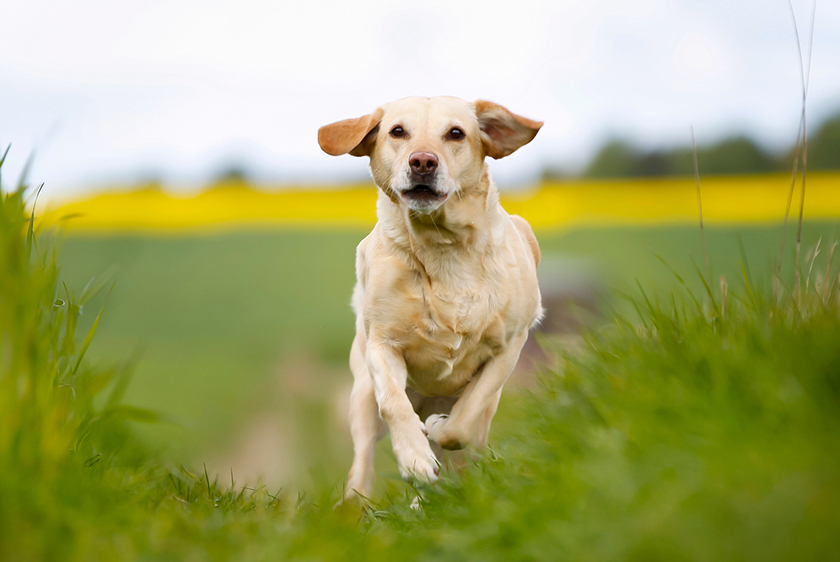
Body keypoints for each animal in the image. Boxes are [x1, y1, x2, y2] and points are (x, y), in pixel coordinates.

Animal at [316, 94, 544, 500]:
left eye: (455, 133)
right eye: (397, 131)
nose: (423, 161)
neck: (443, 245)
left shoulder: (509, 347)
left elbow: (462, 424)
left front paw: (439, 429)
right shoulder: (383, 345)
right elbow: (394, 404)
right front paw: (414, 457)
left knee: (470, 442)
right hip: (361, 397)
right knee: (362, 462)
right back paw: (355, 504)